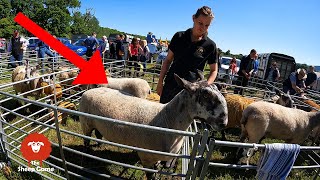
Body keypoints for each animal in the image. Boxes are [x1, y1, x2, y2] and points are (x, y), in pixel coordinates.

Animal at [79, 74, 229, 169]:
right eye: (206, 95)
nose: (224, 122)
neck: (167, 119)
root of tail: (91, 90)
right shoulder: (147, 157)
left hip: (96, 123)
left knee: (98, 133)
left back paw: (99, 144)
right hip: (85, 123)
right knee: (86, 140)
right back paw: (86, 156)